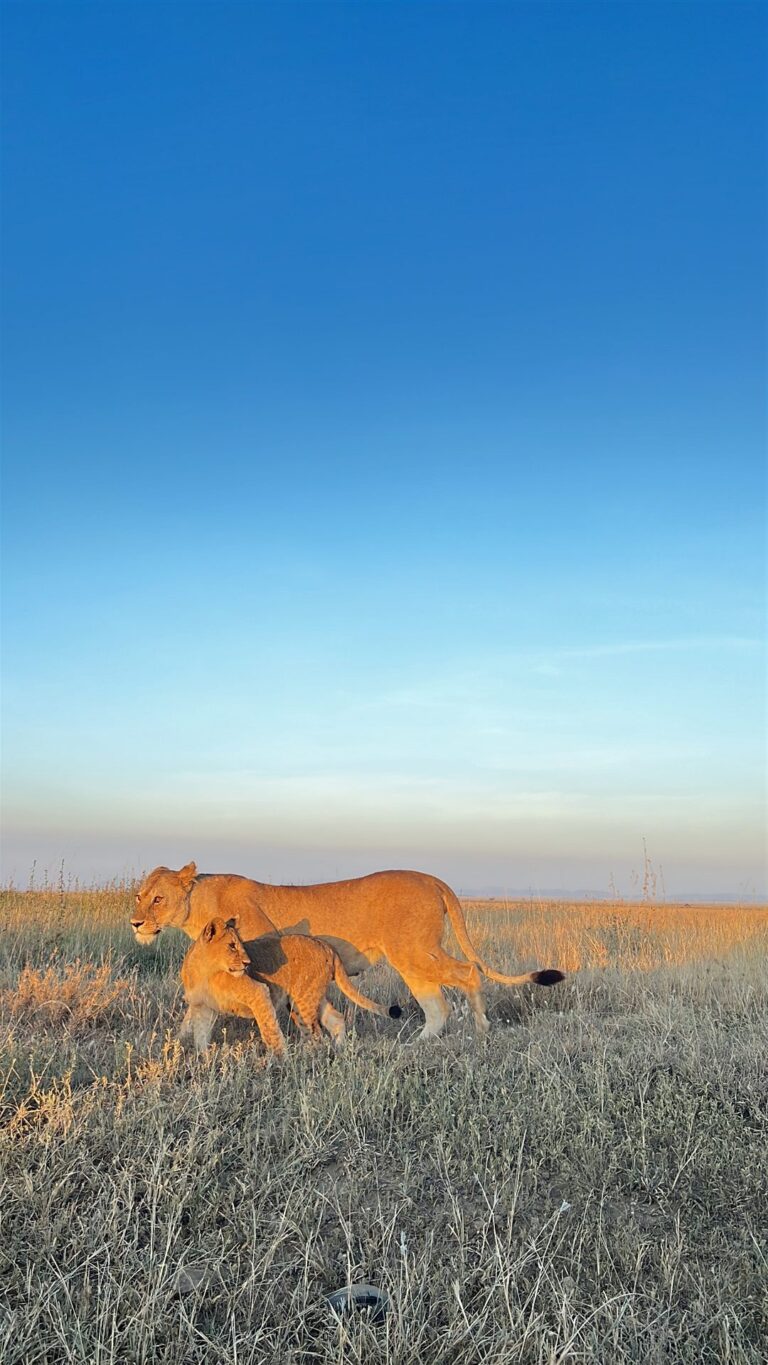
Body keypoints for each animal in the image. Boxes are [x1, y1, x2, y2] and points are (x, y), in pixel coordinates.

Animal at [180, 916, 402, 1052]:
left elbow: (269, 1030)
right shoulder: (203, 1006)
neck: (205, 971)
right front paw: (203, 1060)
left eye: (241, 945)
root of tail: (326, 945)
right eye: (232, 946)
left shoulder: (259, 992)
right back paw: (339, 1050)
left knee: (316, 1034)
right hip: (309, 997)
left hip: (302, 1001)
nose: (247, 963)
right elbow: (200, 1036)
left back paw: (306, 1057)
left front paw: (279, 1060)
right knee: (335, 1019)